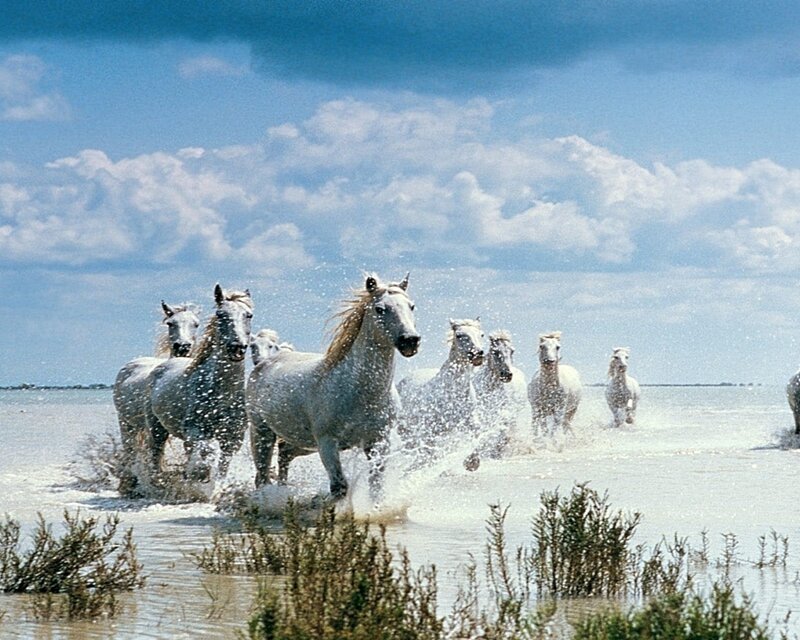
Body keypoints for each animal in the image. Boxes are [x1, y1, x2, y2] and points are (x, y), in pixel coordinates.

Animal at [145, 284, 253, 486]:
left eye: (248, 315)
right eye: (220, 314)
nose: (237, 348)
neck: (222, 394)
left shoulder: (232, 438)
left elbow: (222, 468)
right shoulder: (194, 431)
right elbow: (204, 456)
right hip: (156, 427)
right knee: (155, 454)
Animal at [247, 274, 420, 500]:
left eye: (411, 306)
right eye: (380, 309)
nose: (410, 341)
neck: (359, 390)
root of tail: (263, 364)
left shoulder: (378, 440)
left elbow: (376, 485)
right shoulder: (327, 442)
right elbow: (339, 487)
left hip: (301, 442)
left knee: (284, 456)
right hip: (262, 432)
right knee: (262, 476)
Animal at [397, 318, 485, 470]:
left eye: (482, 335)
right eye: (459, 335)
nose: (478, 354)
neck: (453, 391)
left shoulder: (470, 420)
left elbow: (478, 431)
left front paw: (472, 463)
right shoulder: (432, 431)